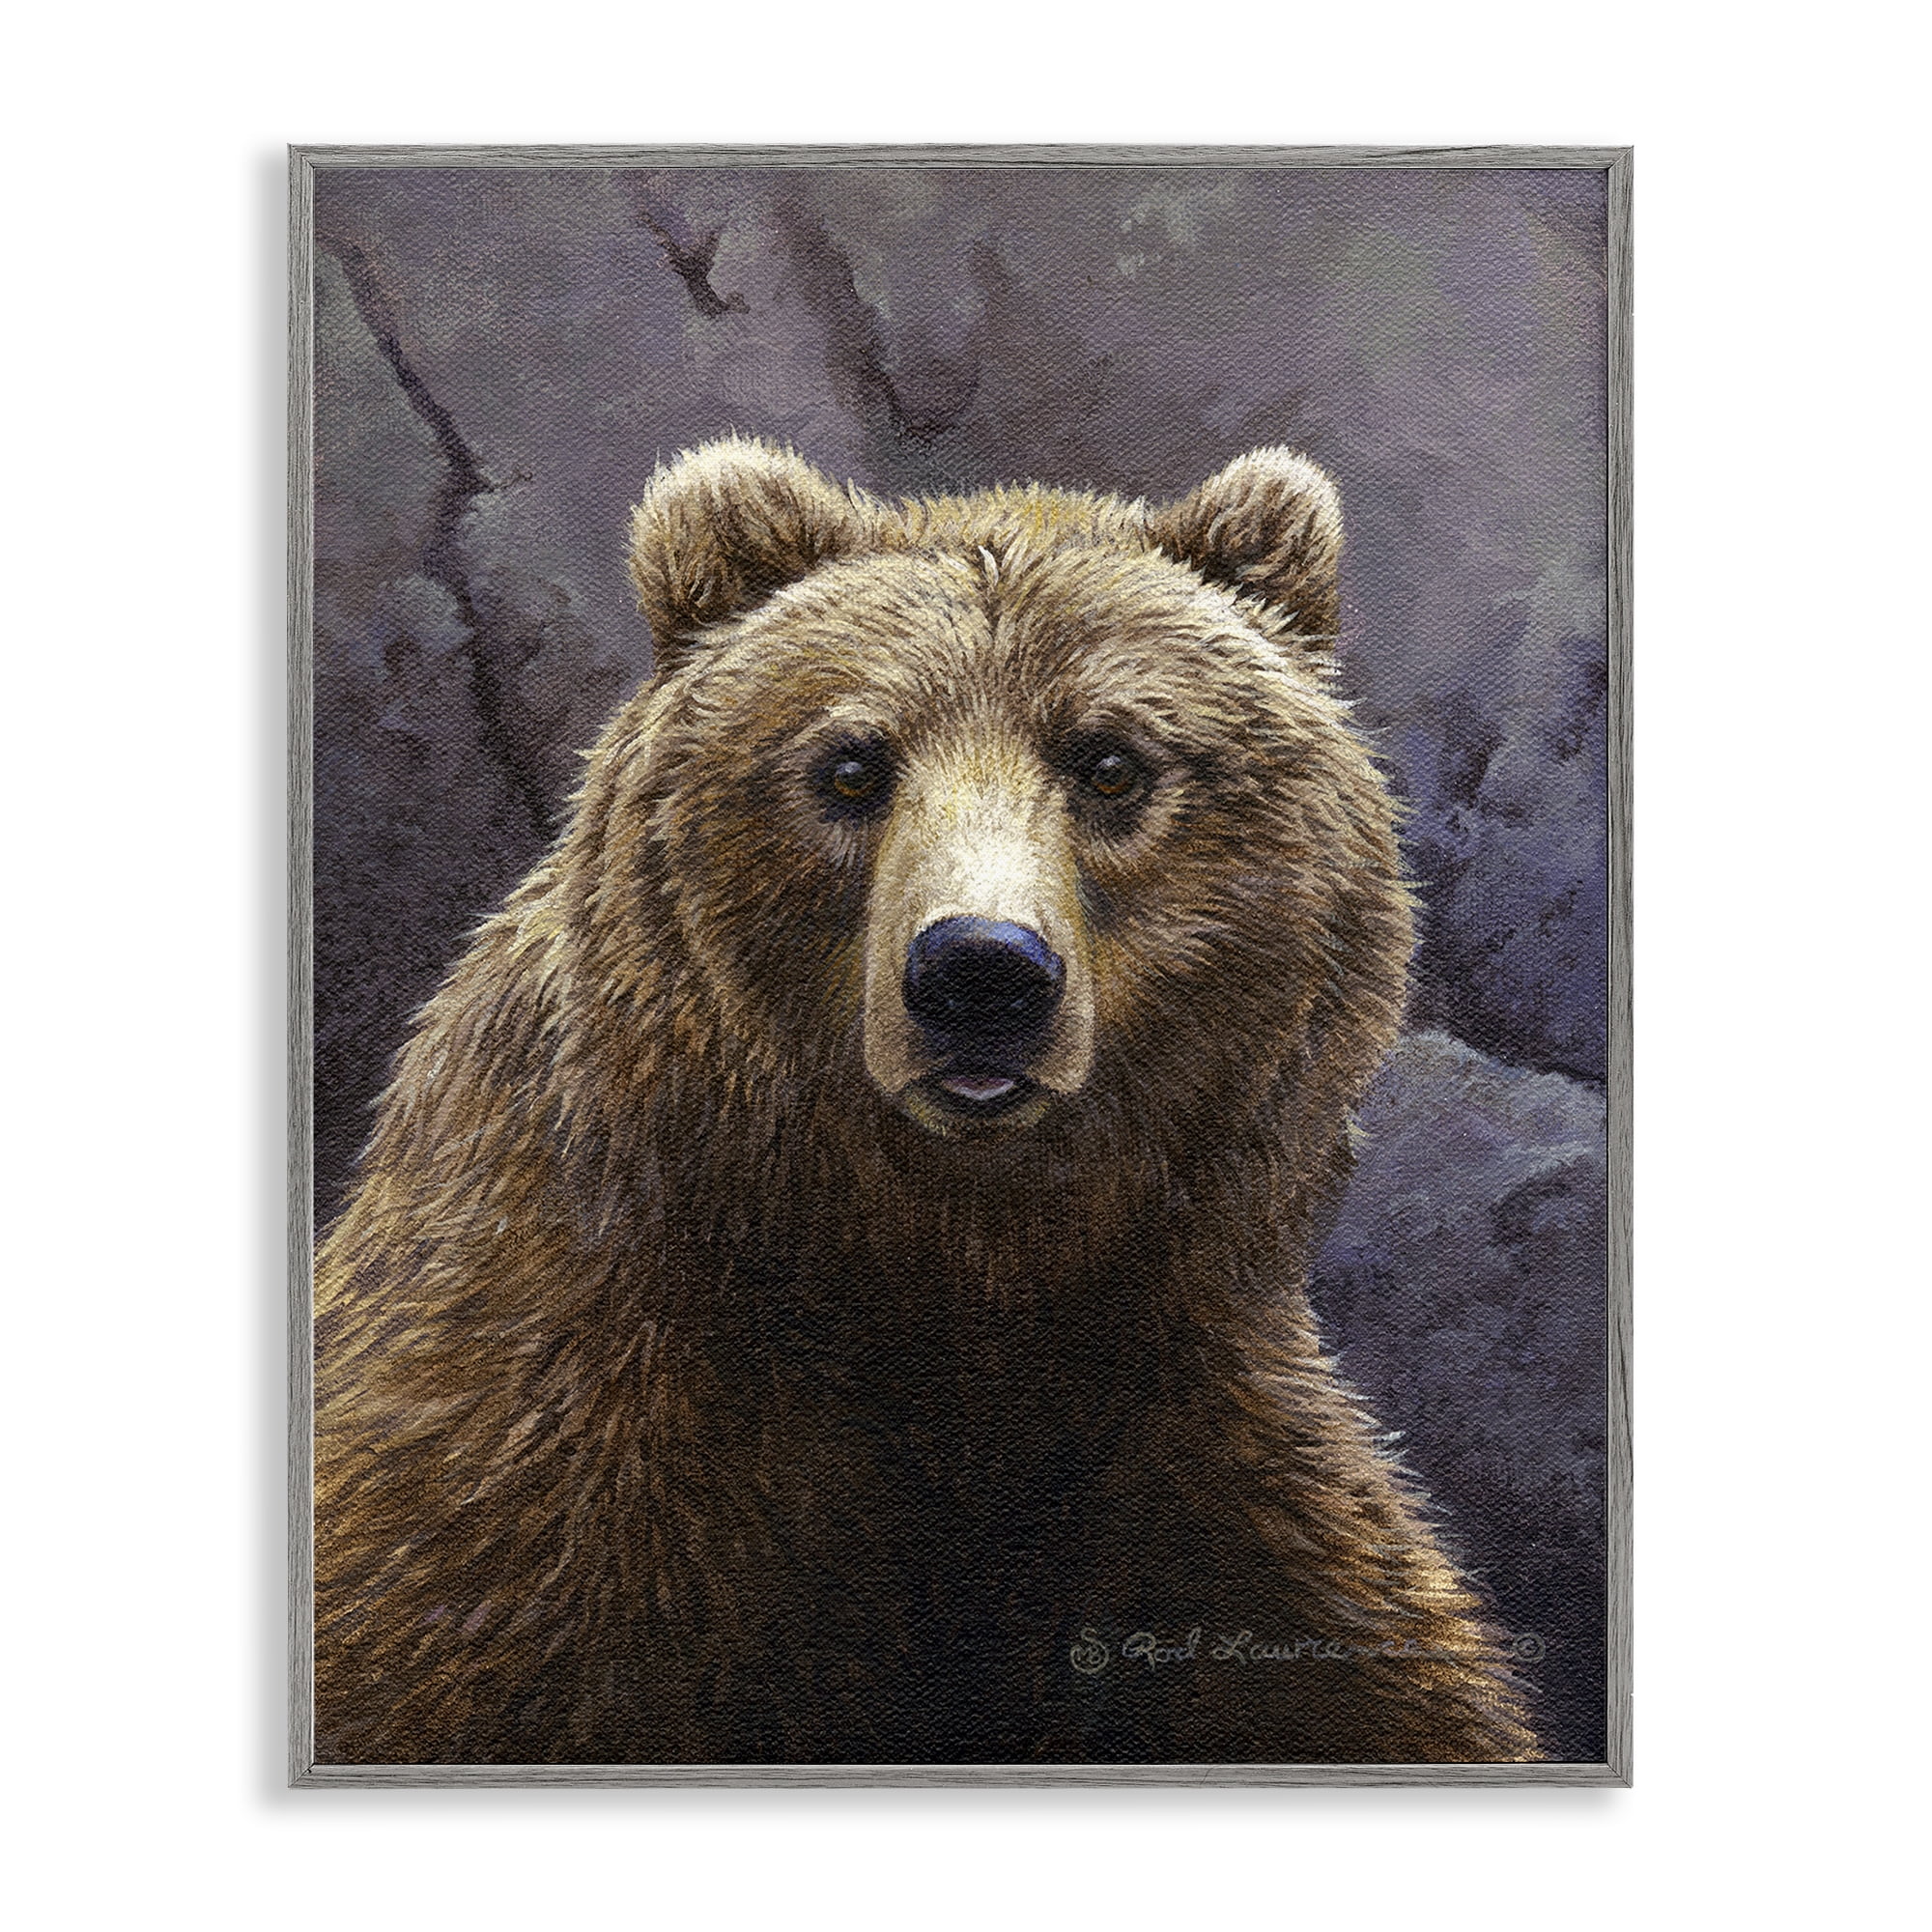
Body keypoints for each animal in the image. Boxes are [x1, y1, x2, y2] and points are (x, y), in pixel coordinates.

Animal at [312, 435, 1540, 1766]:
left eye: (1110, 760)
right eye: (851, 764)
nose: (979, 969)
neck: (949, 1267)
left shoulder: (1195, 1445)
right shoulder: (543, 1461)